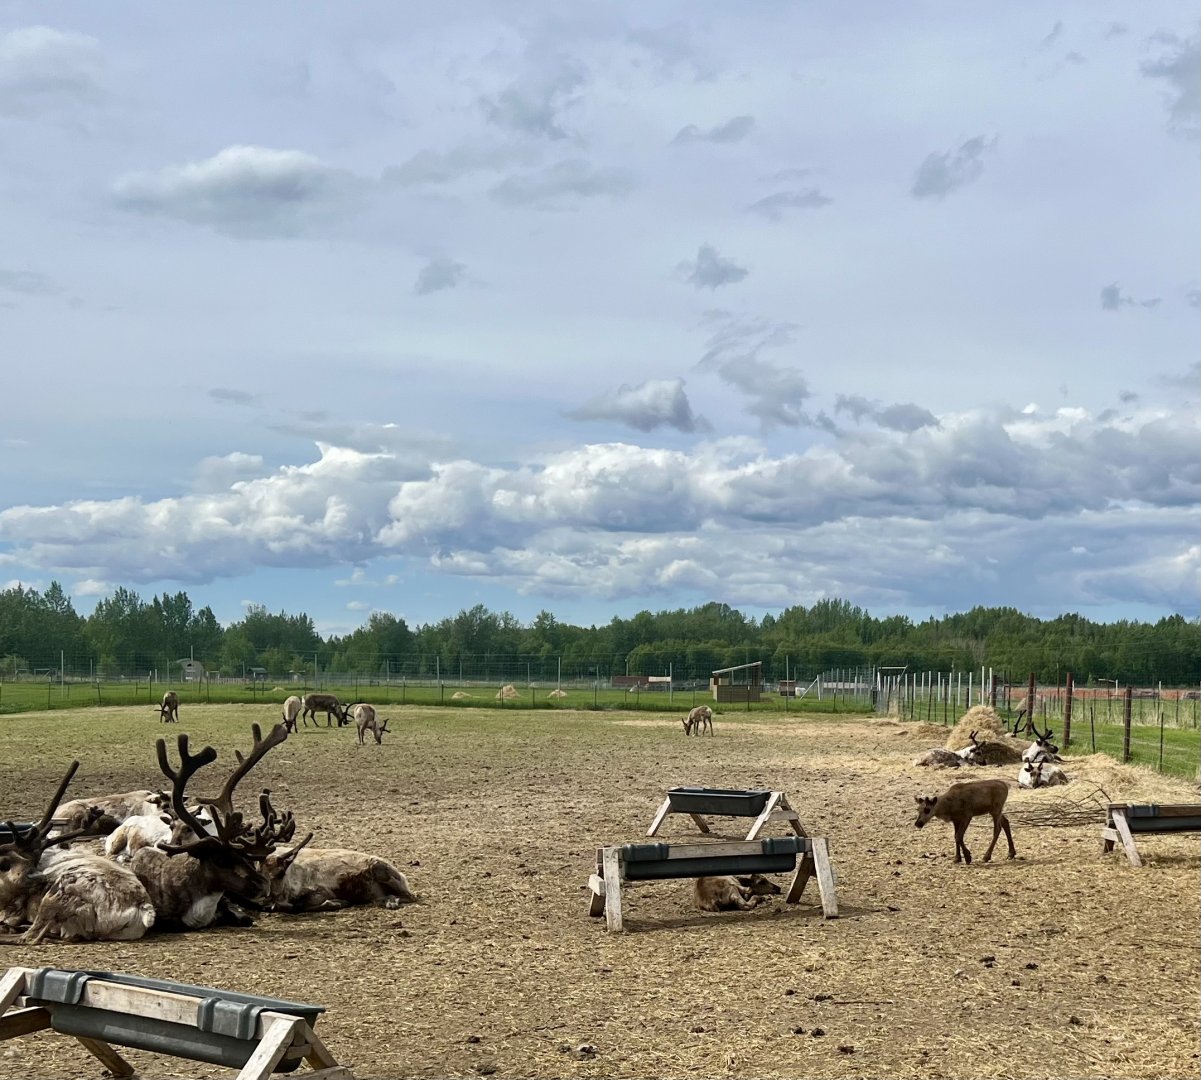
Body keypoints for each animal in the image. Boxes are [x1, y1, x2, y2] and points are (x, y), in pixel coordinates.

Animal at [260, 841, 416, 912]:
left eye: (281, 873)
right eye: (261, 874)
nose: (267, 899)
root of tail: (402, 875)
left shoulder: (320, 890)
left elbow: (300, 905)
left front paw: (337, 903)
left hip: (381, 870)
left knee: (411, 896)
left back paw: (392, 902)